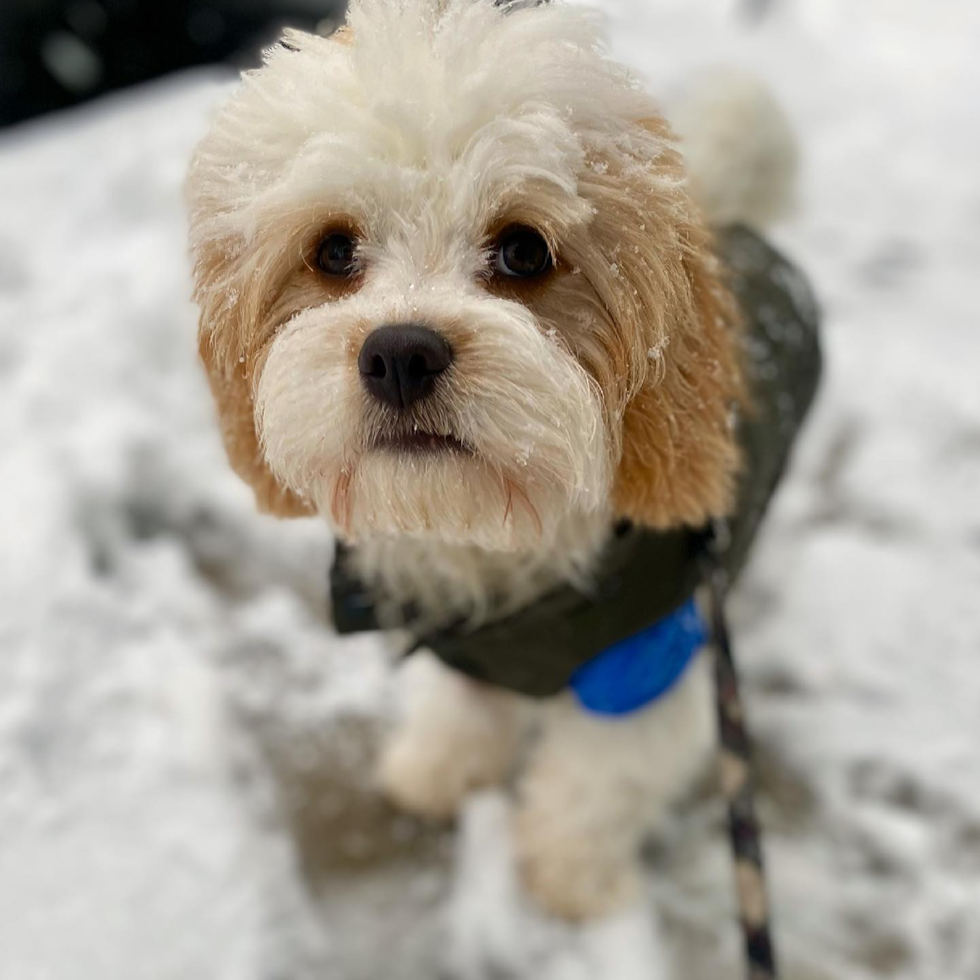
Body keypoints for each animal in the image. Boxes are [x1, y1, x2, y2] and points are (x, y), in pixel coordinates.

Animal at [188, 0, 808, 924]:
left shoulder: (644, 670)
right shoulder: (465, 643)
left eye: (523, 251)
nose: (400, 354)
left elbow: (598, 786)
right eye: (333, 252)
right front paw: (436, 771)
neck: (497, 544)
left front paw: (570, 882)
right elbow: (465, 713)